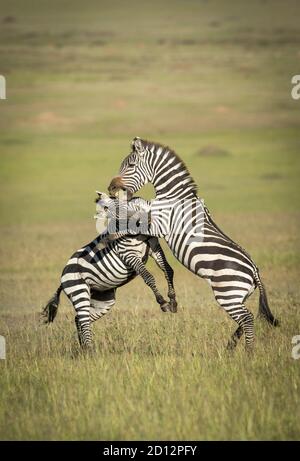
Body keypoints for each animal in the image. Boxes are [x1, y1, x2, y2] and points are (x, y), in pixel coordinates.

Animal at [42, 191, 178, 348]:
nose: (105, 240)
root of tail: (63, 275)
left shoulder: (154, 247)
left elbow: (168, 270)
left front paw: (173, 300)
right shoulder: (128, 254)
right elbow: (148, 277)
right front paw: (163, 302)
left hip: (104, 300)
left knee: (79, 319)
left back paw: (84, 349)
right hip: (79, 292)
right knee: (83, 320)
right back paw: (89, 350)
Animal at [107, 138, 278, 350]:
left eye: (130, 165)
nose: (111, 188)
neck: (173, 196)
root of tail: (255, 271)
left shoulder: (160, 225)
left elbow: (137, 224)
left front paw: (114, 233)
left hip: (228, 293)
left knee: (246, 318)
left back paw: (248, 352)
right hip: (239, 296)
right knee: (246, 319)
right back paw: (230, 348)